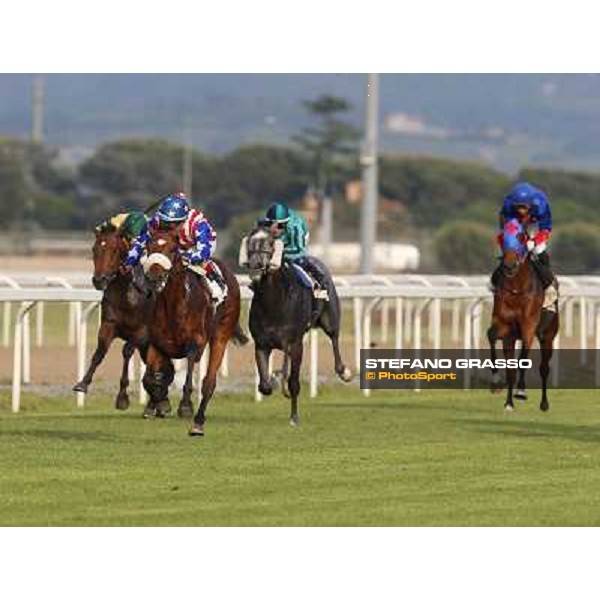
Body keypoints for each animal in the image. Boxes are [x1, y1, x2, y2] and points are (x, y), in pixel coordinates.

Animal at [73, 223, 152, 410]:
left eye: (115, 250)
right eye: (94, 249)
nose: (99, 280)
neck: (127, 296)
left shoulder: (141, 331)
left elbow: (127, 351)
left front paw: (122, 397)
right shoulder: (109, 324)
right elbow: (100, 352)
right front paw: (83, 384)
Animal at [142, 227, 243, 434]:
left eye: (173, 249)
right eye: (149, 246)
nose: (154, 275)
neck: (174, 306)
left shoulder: (195, 343)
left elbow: (188, 377)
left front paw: (186, 406)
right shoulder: (157, 344)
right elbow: (149, 378)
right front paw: (158, 402)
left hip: (221, 335)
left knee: (209, 382)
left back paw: (198, 422)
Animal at [240, 226, 350, 426]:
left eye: (270, 242)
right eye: (250, 242)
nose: (256, 264)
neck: (274, 302)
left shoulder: (295, 344)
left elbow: (294, 383)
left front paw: (294, 418)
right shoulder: (261, 344)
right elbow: (264, 385)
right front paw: (274, 379)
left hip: (330, 318)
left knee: (334, 338)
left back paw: (344, 371)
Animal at [488, 219, 556, 412]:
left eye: (521, 237)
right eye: (503, 237)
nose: (509, 265)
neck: (517, 289)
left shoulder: (529, 326)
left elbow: (524, 357)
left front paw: (521, 391)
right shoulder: (503, 326)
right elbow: (492, 336)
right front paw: (497, 386)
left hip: (548, 335)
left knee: (543, 367)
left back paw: (543, 402)